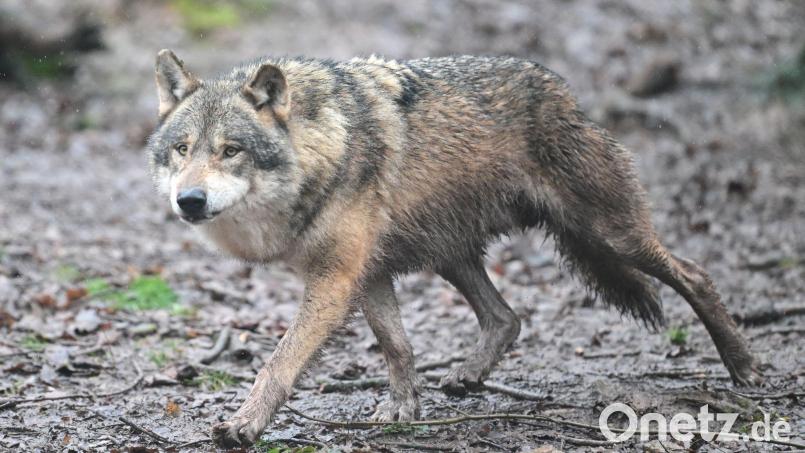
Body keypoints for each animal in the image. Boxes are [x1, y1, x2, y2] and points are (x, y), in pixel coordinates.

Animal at [146, 49, 762, 447]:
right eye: (182, 149)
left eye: (231, 150)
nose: (189, 200)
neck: (322, 147)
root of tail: (565, 92)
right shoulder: (367, 274)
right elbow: (397, 346)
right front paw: (403, 409)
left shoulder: (336, 279)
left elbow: (279, 362)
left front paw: (243, 425)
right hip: (451, 254)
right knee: (507, 318)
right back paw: (467, 376)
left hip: (610, 234)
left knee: (695, 273)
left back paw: (745, 368)